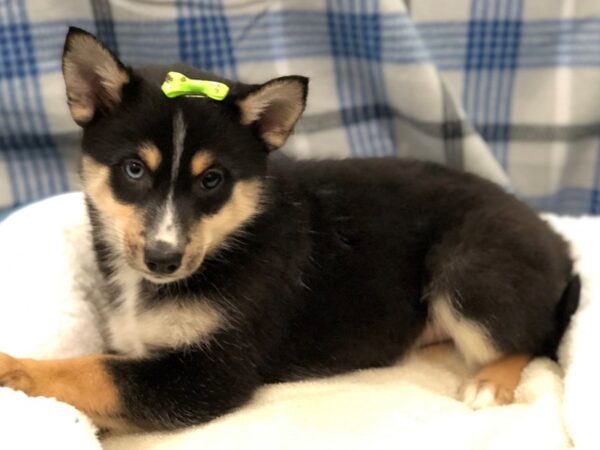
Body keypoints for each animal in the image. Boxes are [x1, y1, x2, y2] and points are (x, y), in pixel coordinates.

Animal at [0, 29, 580, 432]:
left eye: (212, 180)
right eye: (133, 170)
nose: (164, 259)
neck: (230, 241)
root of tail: (554, 237)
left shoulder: (210, 374)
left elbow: (91, 372)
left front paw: (12, 369)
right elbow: (102, 368)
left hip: (466, 268)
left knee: (531, 338)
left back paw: (488, 384)